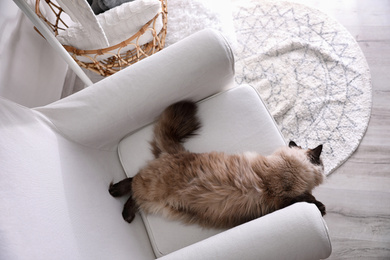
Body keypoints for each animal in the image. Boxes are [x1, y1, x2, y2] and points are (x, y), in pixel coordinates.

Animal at [109, 99, 326, 228]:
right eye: (321, 162)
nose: (323, 166)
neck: (292, 166)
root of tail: (178, 152)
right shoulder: (281, 198)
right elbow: (305, 199)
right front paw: (321, 208)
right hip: (152, 190)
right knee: (133, 182)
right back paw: (117, 196)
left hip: (157, 204)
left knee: (134, 193)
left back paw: (123, 208)